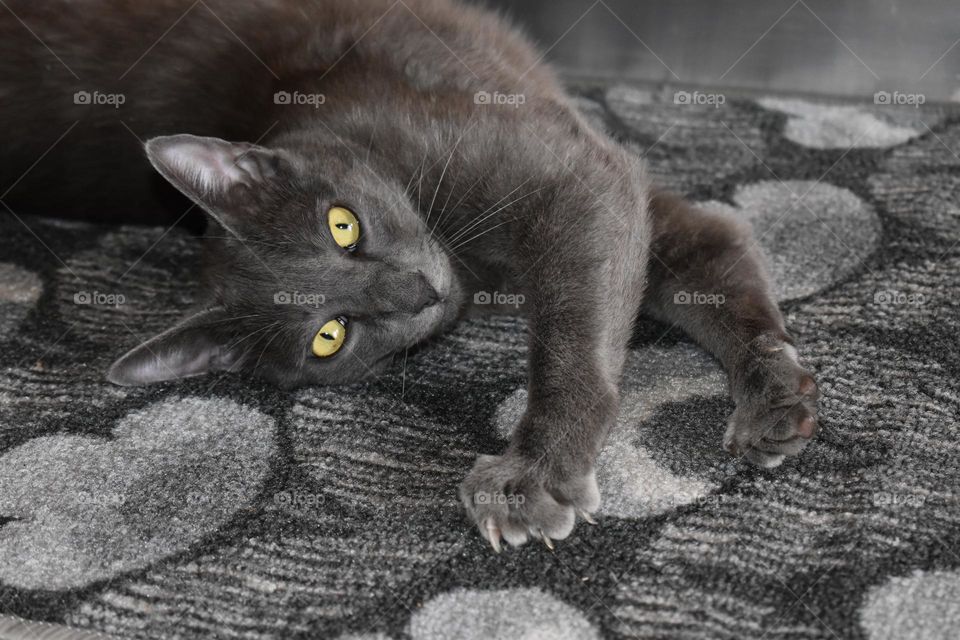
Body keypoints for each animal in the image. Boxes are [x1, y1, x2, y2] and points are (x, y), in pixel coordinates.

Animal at [0, 0, 816, 552]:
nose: (417, 293)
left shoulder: (571, 172)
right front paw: (776, 384)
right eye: (329, 337)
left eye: (343, 225)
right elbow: (702, 244)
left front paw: (530, 473)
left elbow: (575, 333)